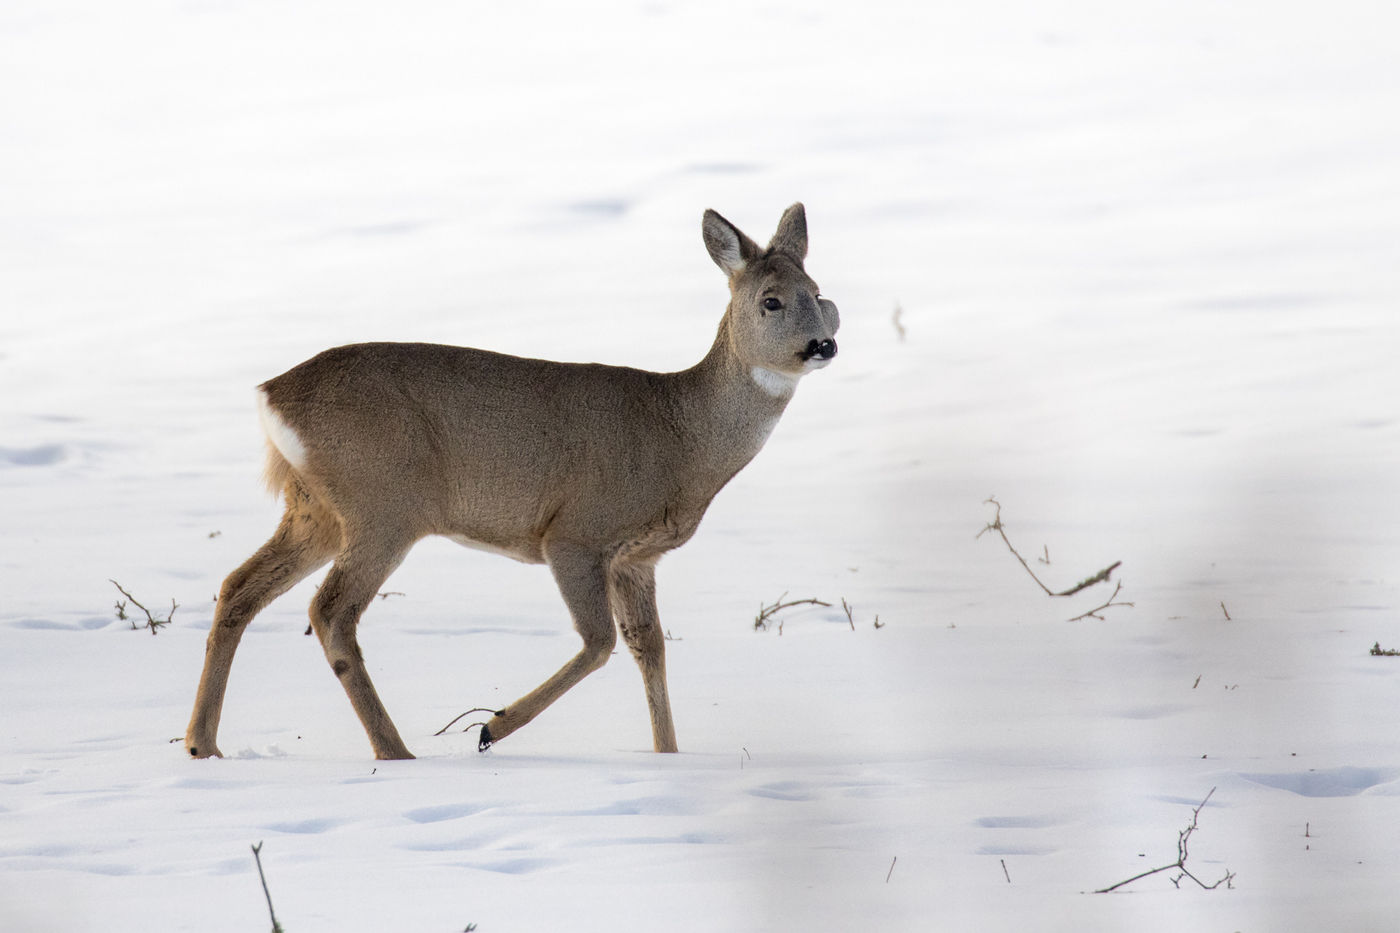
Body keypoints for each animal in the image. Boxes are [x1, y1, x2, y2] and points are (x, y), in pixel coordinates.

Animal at [186, 201, 840, 756]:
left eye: (820, 293)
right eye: (772, 301)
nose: (824, 345)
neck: (681, 437)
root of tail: (272, 395)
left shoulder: (638, 557)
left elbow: (648, 648)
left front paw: (668, 755)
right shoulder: (575, 533)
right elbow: (599, 642)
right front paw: (491, 727)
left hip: (317, 509)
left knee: (239, 588)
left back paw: (203, 743)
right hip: (384, 503)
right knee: (331, 611)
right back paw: (396, 751)